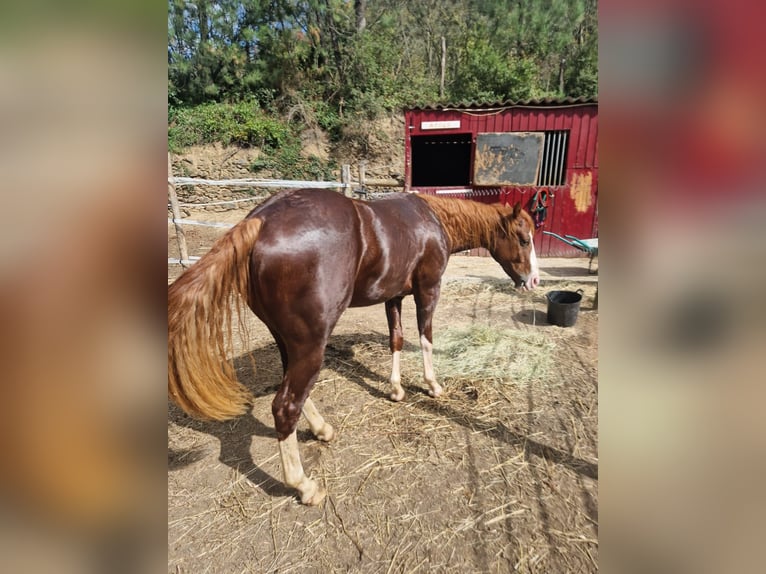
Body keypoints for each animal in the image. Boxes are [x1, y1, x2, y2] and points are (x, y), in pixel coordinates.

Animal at [168, 188, 540, 504]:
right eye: (523, 239)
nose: (534, 281)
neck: (431, 220)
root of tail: (260, 220)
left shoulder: (394, 296)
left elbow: (396, 340)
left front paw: (395, 389)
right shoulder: (428, 290)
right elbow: (426, 338)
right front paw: (432, 385)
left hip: (288, 340)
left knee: (294, 391)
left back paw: (321, 429)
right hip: (312, 344)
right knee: (286, 405)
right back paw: (304, 486)